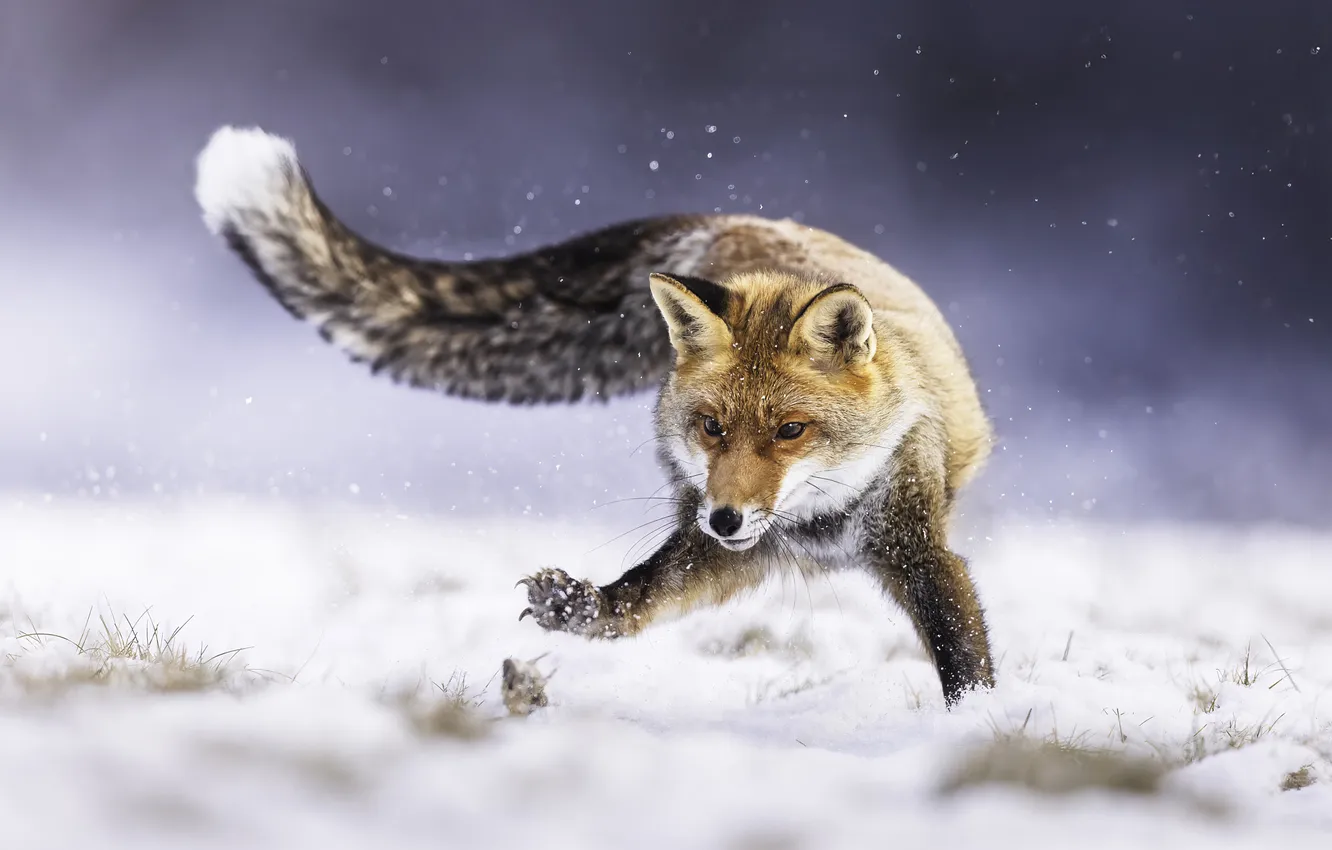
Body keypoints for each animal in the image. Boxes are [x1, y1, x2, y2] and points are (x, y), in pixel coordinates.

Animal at [194, 125, 997, 706]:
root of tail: (737, 225)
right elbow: (643, 593)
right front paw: (582, 606)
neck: (818, 526)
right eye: (713, 427)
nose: (727, 517)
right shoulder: (725, 549)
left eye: (791, 431)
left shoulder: (916, 545)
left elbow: (962, 656)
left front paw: (974, 726)